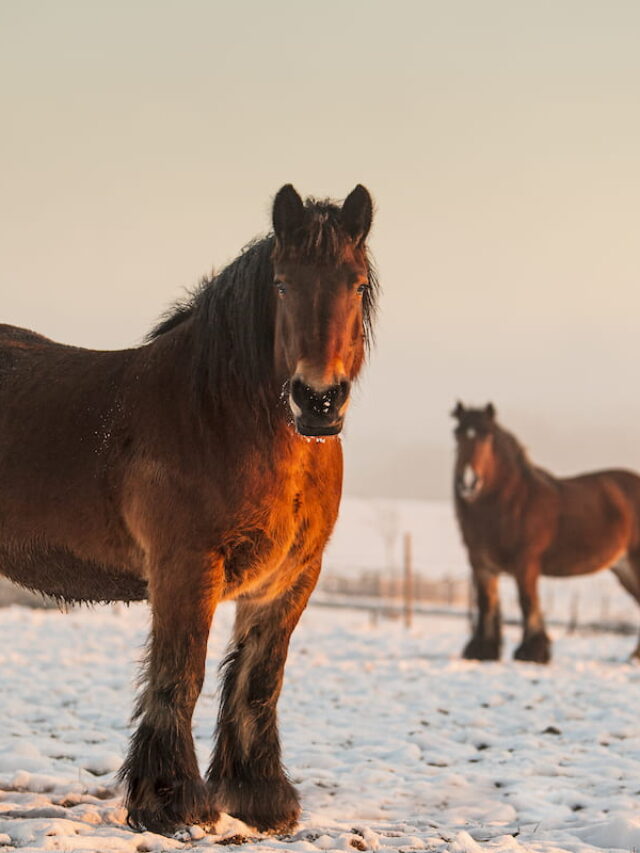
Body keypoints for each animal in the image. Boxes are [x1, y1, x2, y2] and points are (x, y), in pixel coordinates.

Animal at [0, 184, 378, 835]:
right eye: (282, 285)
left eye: (355, 285)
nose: (318, 400)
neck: (221, 416)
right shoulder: (186, 568)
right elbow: (181, 676)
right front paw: (171, 801)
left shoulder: (291, 578)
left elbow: (259, 680)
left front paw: (259, 797)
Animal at [452, 402, 640, 664]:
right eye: (457, 434)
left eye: (487, 436)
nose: (468, 482)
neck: (510, 503)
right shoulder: (481, 565)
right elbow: (486, 604)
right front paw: (482, 651)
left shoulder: (526, 563)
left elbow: (528, 602)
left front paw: (532, 652)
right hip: (624, 569)